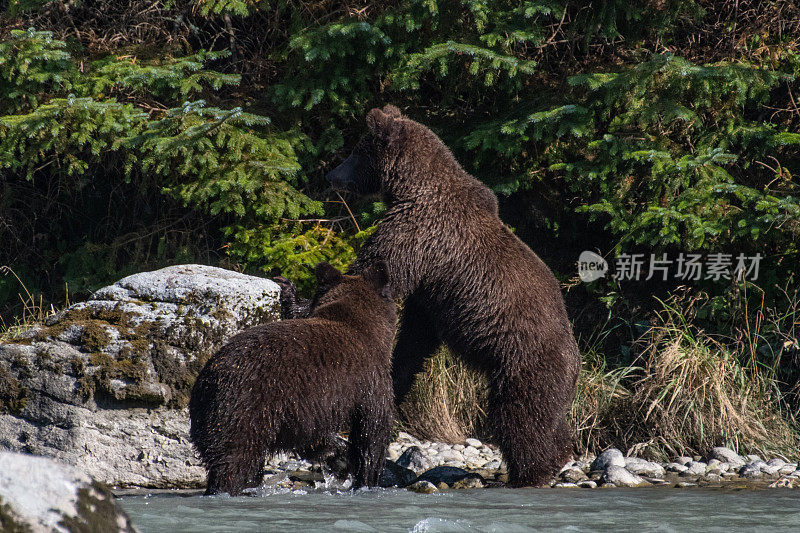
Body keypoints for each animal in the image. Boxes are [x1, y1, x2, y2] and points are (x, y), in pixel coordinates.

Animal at [191, 262, 396, 494]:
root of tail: (208, 381)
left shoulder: (305, 407)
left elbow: (311, 435)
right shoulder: (369, 379)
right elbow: (372, 430)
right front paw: (367, 478)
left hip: (210, 415)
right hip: (245, 407)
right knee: (235, 460)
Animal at [282, 104, 580, 486]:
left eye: (356, 151)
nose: (331, 175)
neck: (411, 188)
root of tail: (577, 361)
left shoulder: (417, 234)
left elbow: (369, 273)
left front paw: (294, 297)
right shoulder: (429, 288)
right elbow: (415, 337)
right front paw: (396, 376)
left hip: (525, 365)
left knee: (521, 421)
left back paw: (530, 472)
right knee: (550, 424)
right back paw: (557, 458)